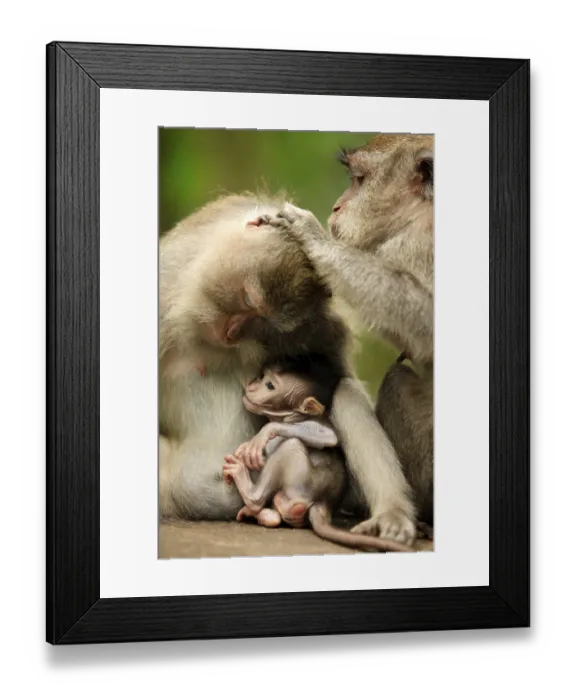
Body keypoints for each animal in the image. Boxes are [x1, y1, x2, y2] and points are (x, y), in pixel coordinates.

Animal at [222, 354, 416, 553]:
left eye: (270, 385)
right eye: (262, 376)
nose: (252, 387)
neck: (292, 417)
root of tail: (324, 502)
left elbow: (329, 436)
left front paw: (265, 432)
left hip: (304, 482)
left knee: (291, 445)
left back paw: (250, 493)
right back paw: (266, 516)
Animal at [252, 134, 435, 533]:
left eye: (360, 180)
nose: (336, 207)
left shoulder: (418, 242)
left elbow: (422, 319)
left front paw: (313, 238)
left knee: (389, 381)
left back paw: (393, 513)